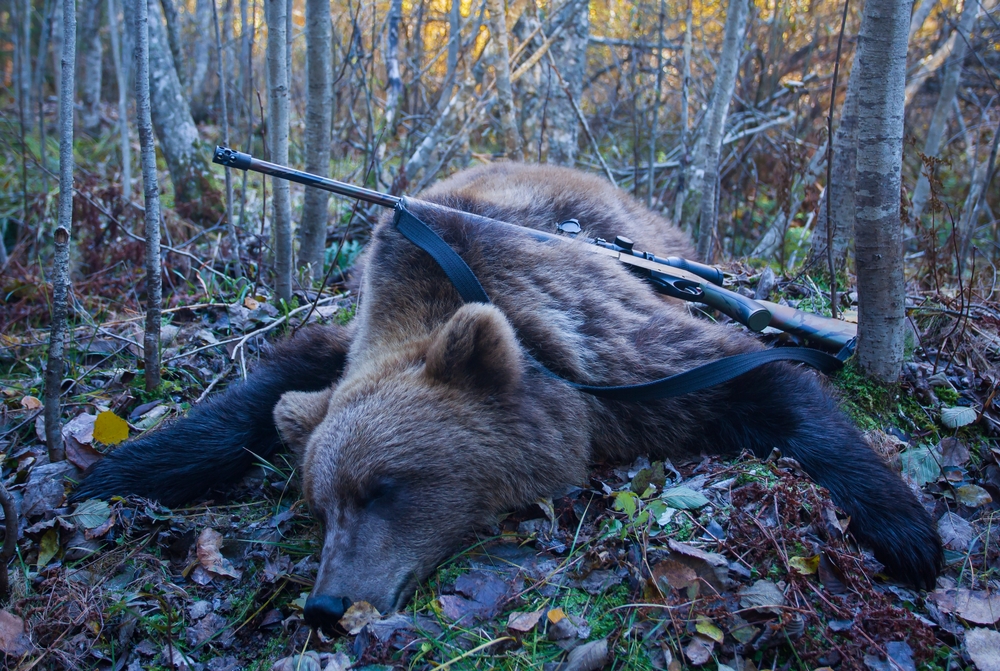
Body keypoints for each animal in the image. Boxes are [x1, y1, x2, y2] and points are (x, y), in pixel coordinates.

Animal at [73, 163, 942, 632]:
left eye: (385, 487)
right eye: (320, 505)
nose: (326, 604)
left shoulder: (606, 348)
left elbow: (758, 377)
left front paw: (909, 531)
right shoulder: (354, 338)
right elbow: (270, 388)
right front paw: (117, 471)